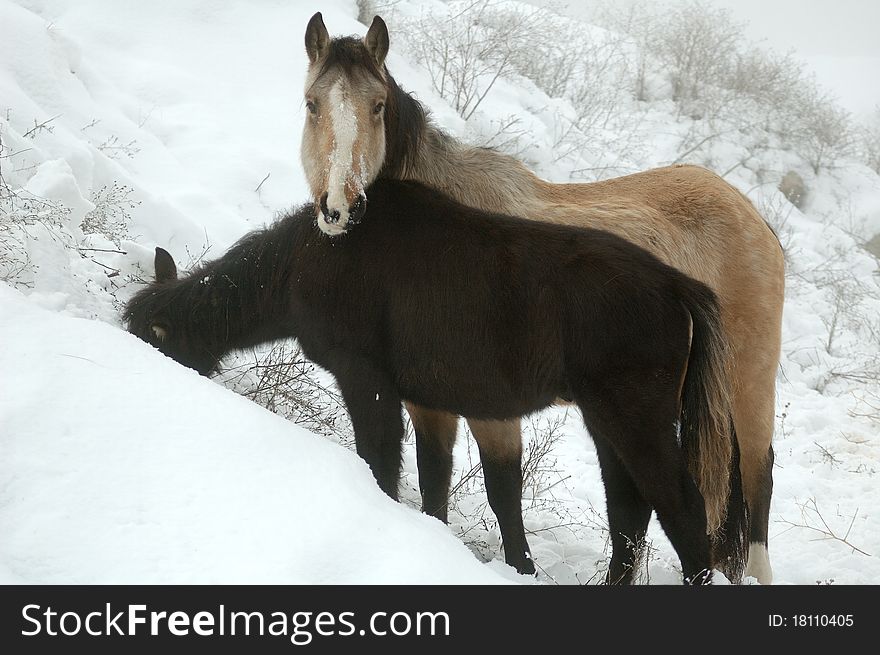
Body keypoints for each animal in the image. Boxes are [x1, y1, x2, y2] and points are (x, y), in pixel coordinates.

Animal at [127, 178, 744, 584]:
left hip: (634, 417)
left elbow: (380, 463)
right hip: (606, 420)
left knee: (683, 512)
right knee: (630, 515)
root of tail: (679, 287)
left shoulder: (366, 376)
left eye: (151, 338)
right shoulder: (430, 402)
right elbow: (433, 483)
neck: (296, 267)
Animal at [300, 12, 780, 580]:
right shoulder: (428, 402)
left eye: (376, 106)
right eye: (312, 103)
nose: (340, 207)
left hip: (745, 392)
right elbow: (434, 481)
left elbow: (504, 492)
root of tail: (753, 216)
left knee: (757, 481)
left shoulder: (492, 407)